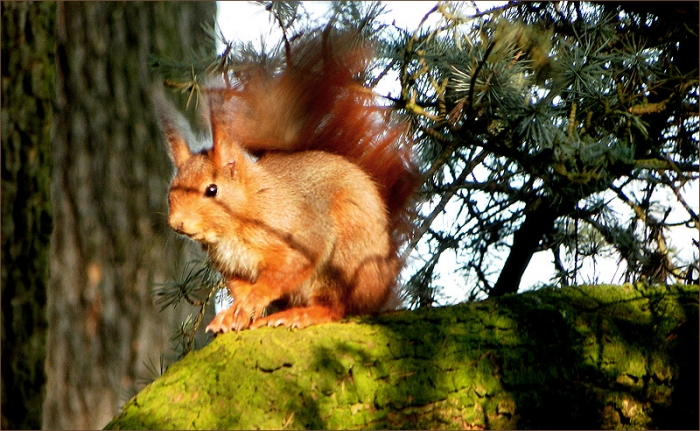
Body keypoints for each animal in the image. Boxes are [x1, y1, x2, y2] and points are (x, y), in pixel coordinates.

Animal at [155, 31, 418, 333]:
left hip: (344, 260)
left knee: (335, 308)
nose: (177, 224)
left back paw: (302, 315)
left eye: (212, 190)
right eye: (171, 191)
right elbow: (241, 290)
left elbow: (281, 274)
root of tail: (383, 284)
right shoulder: (233, 269)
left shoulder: (298, 237)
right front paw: (234, 314)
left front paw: (254, 300)